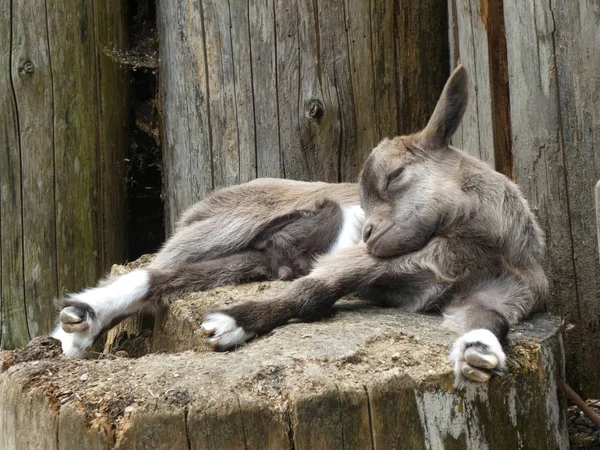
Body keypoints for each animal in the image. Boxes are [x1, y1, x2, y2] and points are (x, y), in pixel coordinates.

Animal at [52, 65, 548, 388]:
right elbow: (313, 294)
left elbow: (489, 321)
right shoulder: (364, 263)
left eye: (394, 176)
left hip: (263, 257)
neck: (472, 247)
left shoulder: (500, 294)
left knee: (190, 276)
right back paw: (82, 318)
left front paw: (479, 354)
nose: (368, 233)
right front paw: (231, 324)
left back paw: (80, 326)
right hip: (231, 223)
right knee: (160, 270)